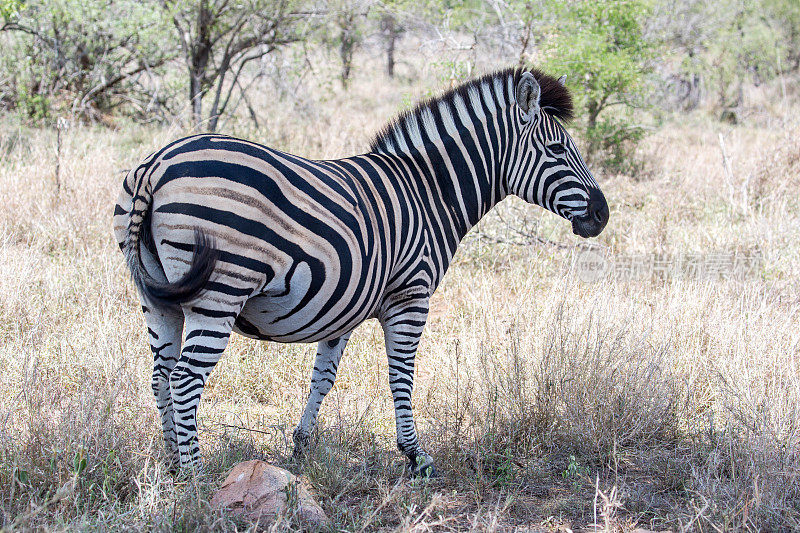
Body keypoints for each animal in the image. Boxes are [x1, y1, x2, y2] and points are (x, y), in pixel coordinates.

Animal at [112, 67, 608, 478]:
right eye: (557, 149)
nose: (602, 215)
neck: (427, 191)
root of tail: (156, 165)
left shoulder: (342, 304)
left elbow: (324, 377)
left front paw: (302, 445)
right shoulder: (411, 295)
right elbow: (401, 375)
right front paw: (415, 456)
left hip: (157, 297)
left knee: (160, 376)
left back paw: (172, 463)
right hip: (219, 293)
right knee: (184, 380)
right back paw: (196, 478)